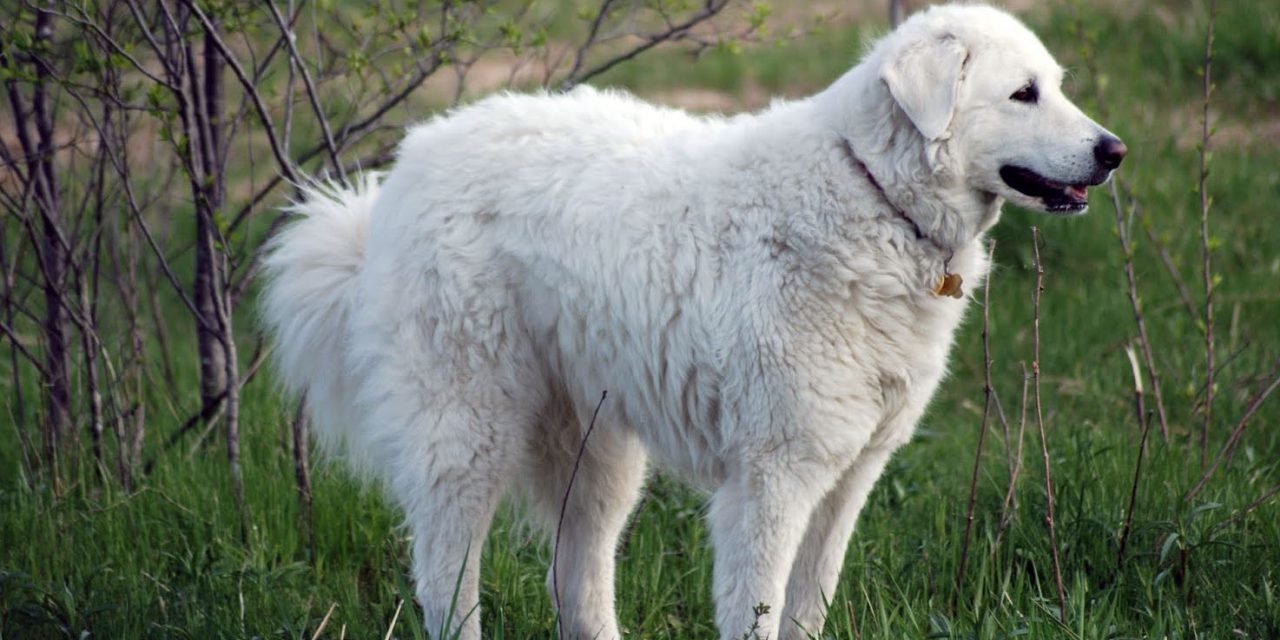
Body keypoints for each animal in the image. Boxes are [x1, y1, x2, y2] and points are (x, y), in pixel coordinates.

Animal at [259, 2, 1121, 637]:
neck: (872, 192)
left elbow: (807, 608)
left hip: (598, 460)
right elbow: (758, 613)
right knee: (447, 581)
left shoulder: (848, 478)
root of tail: (406, 168)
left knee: (577, 582)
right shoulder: (773, 480)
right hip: (469, 435)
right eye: (1022, 95)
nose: (1114, 152)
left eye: (1055, 85)